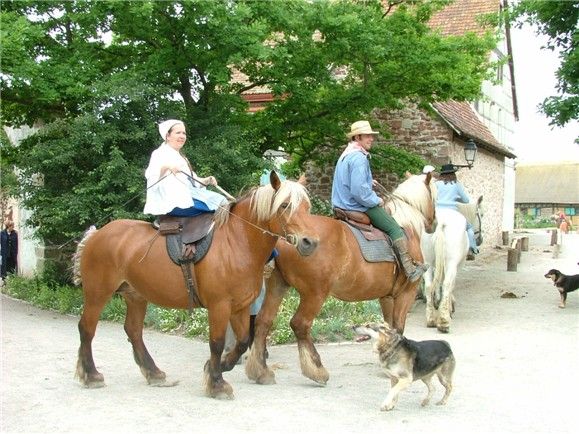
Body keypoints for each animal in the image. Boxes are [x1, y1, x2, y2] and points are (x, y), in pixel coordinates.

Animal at [72, 172, 319, 399]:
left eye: (307, 206)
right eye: (285, 205)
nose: (310, 242)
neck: (237, 242)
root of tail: (96, 235)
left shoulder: (240, 306)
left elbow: (242, 341)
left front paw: (221, 366)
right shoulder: (219, 306)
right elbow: (217, 343)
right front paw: (217, 383)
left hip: (136, 296)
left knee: (133, 331)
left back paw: (153, 373)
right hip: (97, 292)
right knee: (87, 328)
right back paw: (91, 375)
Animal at [245, 173, 437, 386]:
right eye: (435, 194)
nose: (434, 224)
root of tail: (287, 237)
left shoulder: (386, 297)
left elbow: (389, 326)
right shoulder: (406, 294)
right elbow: (399, 326)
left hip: (277, 286)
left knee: (263, 321)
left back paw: (260, 371)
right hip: (315, 294)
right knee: (300, 324)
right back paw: (316, 370)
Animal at [420, 196, 483, 333]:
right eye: (481, 214)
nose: (480, 239)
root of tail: (441, 223)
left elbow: (438, 282)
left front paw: (438, 302)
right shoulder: (456, 265)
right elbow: (450, 285)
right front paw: (449, 307)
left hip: (427, 262)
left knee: (428, 285)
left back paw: (431, 319)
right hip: (451, 262)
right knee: (447, 284)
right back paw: (443, 322)